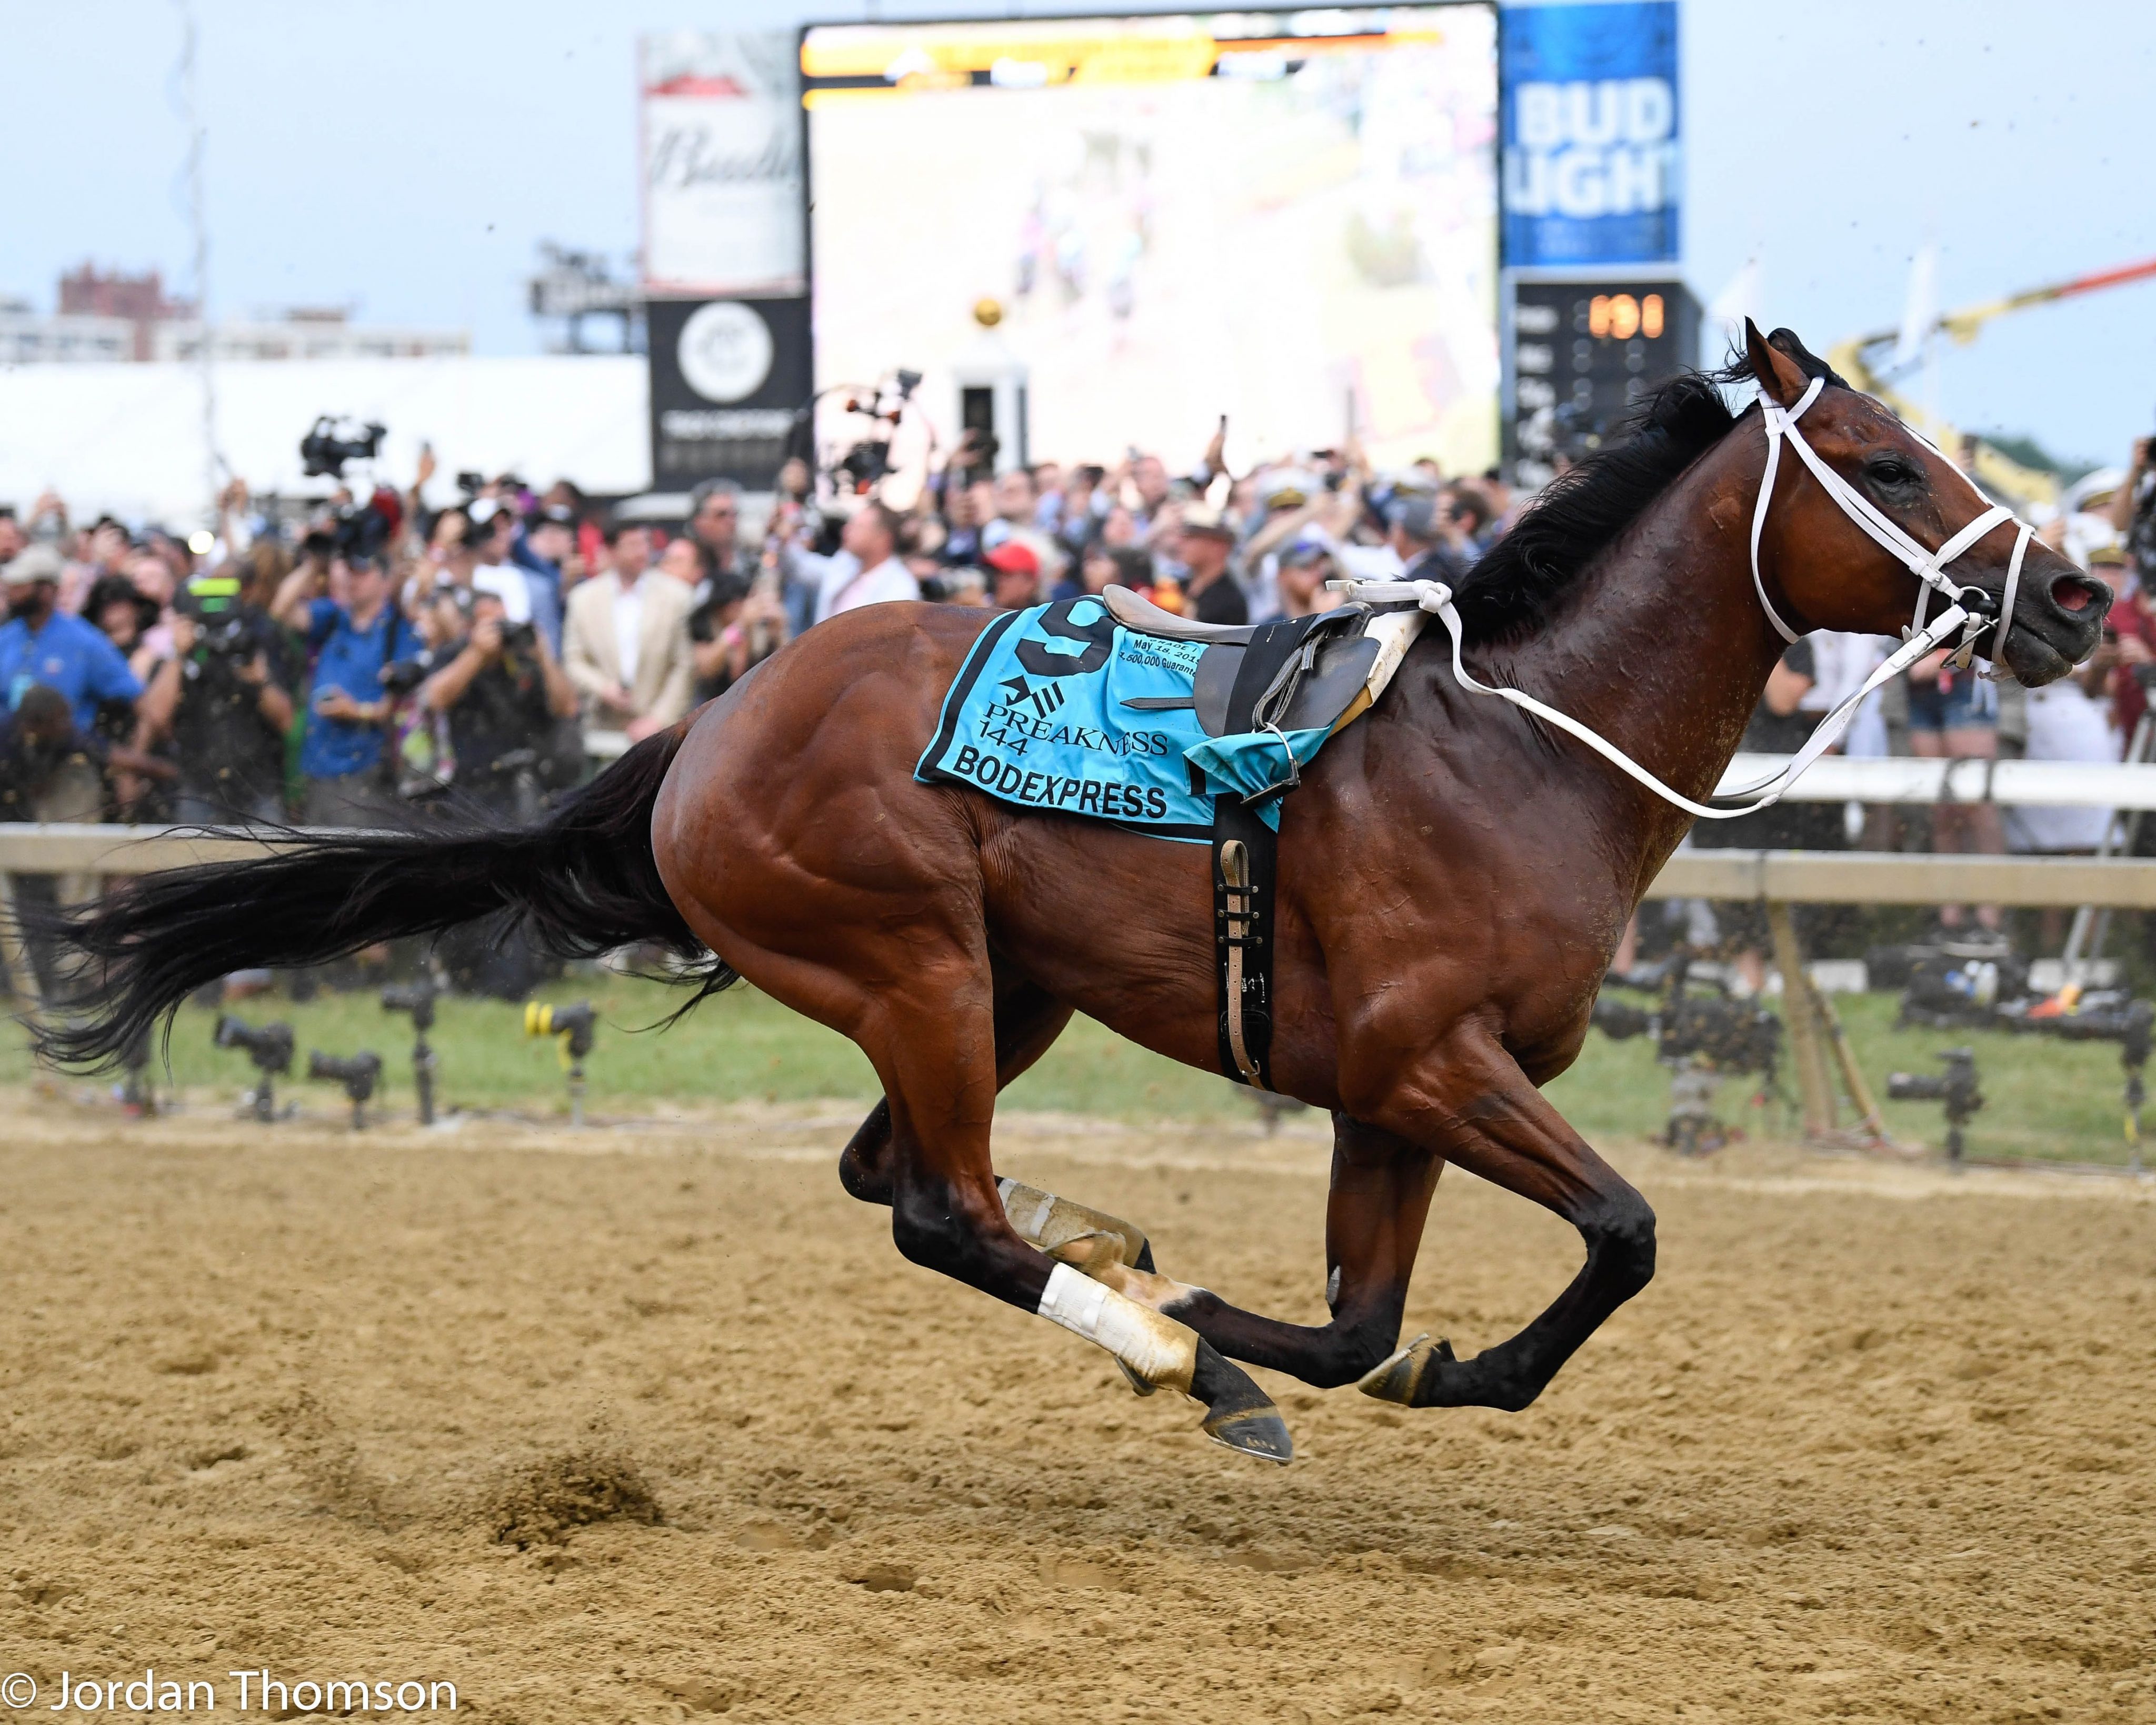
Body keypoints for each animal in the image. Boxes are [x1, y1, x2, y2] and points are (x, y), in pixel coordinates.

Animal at [42, 319, 2104, 1458]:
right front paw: (1252, 1336)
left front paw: (1271, 1321)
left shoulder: (1390, 1092)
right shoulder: (1429, 1062)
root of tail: (705, 724)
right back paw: (1161, 1343)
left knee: (893, 1175)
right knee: (931, 1209)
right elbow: (1619, 1233)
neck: (1520, 748)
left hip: (999, 986)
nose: (2082, 595)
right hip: (911, 963)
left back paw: (1112, 1255)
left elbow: (1365, 1323)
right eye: (1882, 458)